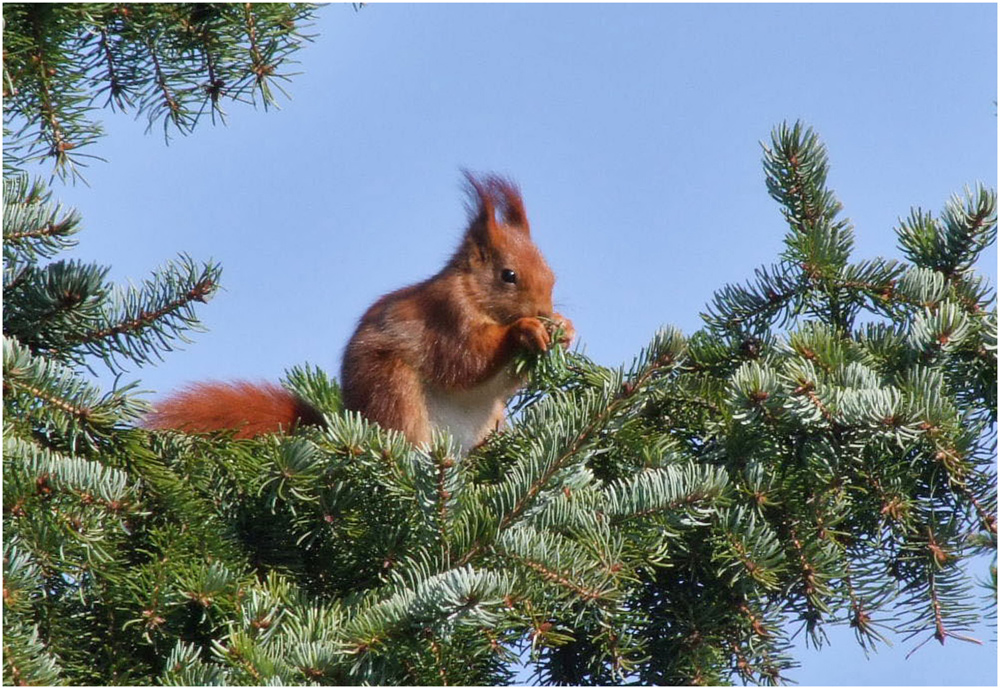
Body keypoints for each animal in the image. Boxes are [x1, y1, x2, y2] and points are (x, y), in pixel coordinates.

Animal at [145, 173, 576, 452]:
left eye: (553, 276)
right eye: (509, 276)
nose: (544, 310)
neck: (473, 294)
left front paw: (565, 330)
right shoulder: (445, 317)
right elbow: (466, 360)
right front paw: (526, 329)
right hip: (394, 393)